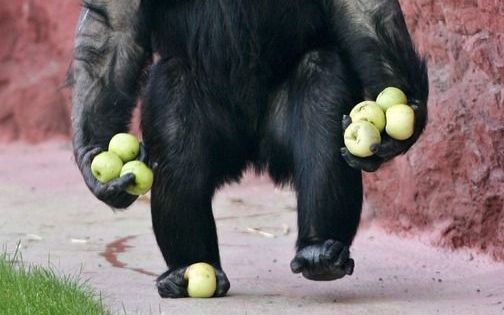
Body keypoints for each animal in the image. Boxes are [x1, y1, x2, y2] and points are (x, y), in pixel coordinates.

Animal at [71, 0, 430, 298]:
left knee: (322, 81)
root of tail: (252, 150)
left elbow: (362, 8)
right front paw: (91, 157)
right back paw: (186, 269)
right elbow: (115, 25)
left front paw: (409, 114)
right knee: (175, 112)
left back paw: (318, 251)